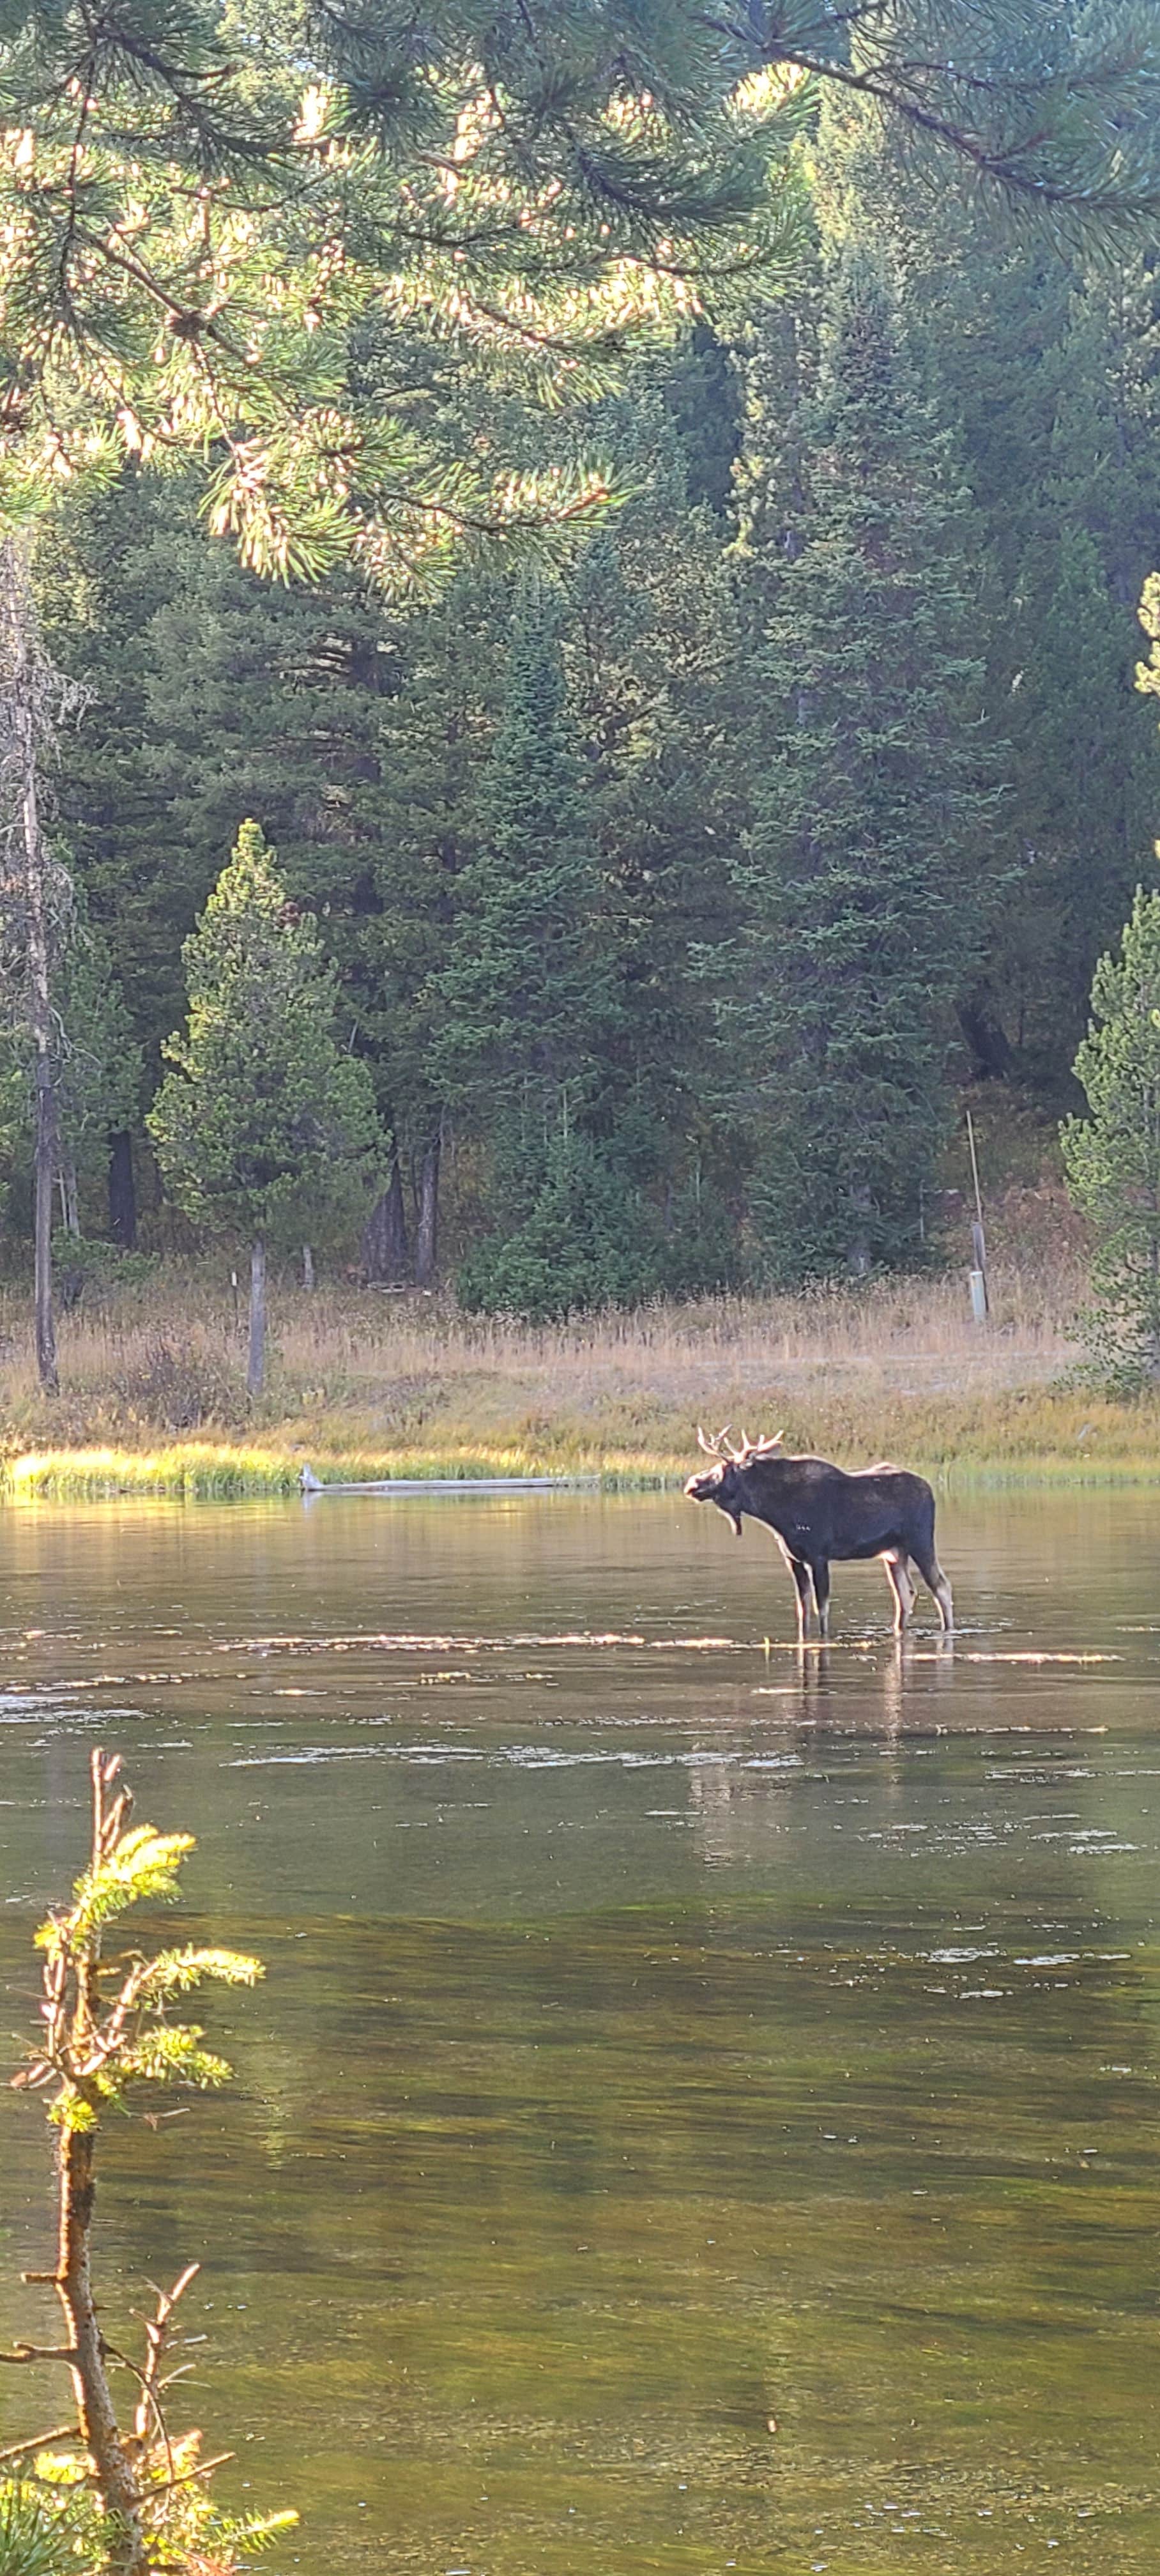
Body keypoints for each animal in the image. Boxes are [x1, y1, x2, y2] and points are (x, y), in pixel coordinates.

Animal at [685, 1422, 949, 1638]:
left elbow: (821, 1608)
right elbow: (802, 1610)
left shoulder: (819, 1556)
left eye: (723, 1468)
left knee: (941, 1587)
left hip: (921, 1542)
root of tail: (930, 1491)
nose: (691, 1484)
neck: (776, 1513)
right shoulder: (793, 1559)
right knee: (906, 1595)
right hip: (894, 1554)